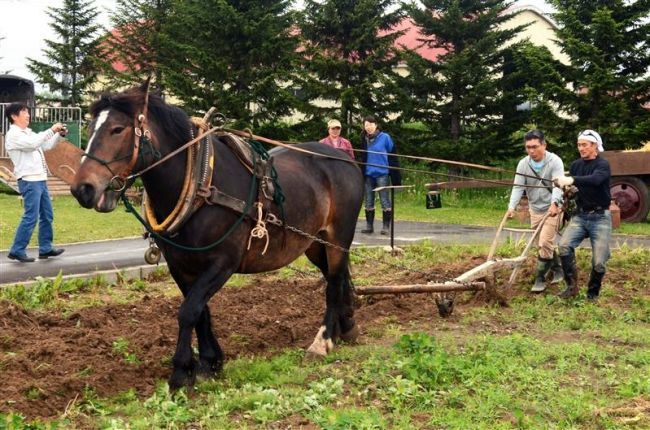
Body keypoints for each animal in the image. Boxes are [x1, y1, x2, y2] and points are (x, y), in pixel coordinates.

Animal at [73, 85, 364, 390]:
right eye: (90, 127)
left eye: (117, 129)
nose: (82, 189)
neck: (201, 184)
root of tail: (344, 158)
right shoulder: (180, 265)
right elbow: (201, 311)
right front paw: (209, 362)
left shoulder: (222, 262)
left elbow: (189, 310)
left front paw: (181, 371)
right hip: (315, 243)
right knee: (337, 277)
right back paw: (346, 326)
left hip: (339, 236)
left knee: (333, 283)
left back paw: (323, 340)